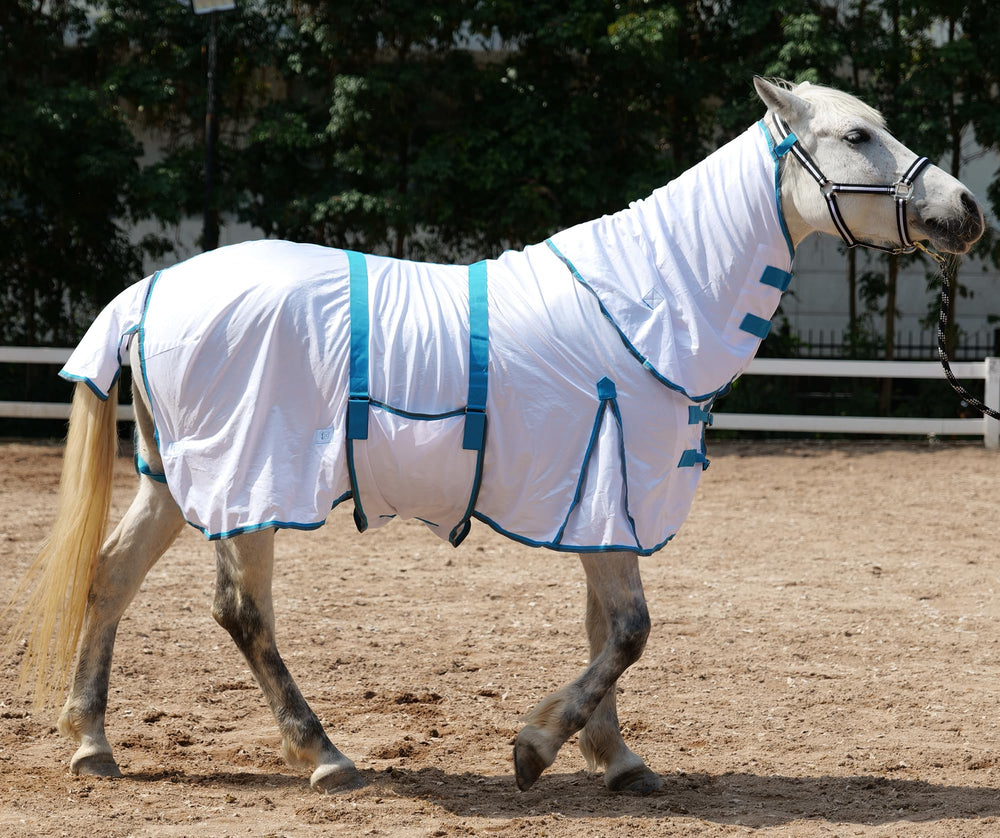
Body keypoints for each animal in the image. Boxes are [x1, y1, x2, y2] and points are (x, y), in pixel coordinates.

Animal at [7, 77, 984, 796]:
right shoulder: (608, 491)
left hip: (175, 482)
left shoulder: (601, 507)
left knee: (111, 578)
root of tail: (151, 291)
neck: (642, 303)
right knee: (242, 614)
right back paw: (323, 754)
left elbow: (604, 632)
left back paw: (92, 742)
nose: (969, 210)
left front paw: (617, 761)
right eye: (858, 135)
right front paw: (535, 748)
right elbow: (628, 633)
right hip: (249, 487)